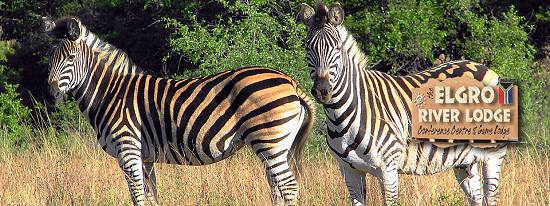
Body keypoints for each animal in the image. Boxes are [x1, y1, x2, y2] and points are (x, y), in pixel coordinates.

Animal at [43, 17, 316, 206]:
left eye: (71, 58)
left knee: (289, 186)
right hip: (278, 144)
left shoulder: (128, 148)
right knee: (277, 187)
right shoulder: (145, 156)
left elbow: (137, 196)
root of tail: (291, 82)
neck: (111, 93)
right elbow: (150, 196)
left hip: (269, 139)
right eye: (50, 59)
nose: (51, 93)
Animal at [300, 3, 512, 206]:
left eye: (336, 48)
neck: (342, 114)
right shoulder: (349, 171)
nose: (322, 90)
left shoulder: (388, 170)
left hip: (493, 155)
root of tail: (485, 68)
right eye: (308, 47)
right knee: (476, 198)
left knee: (491, 197)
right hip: (466, 161)